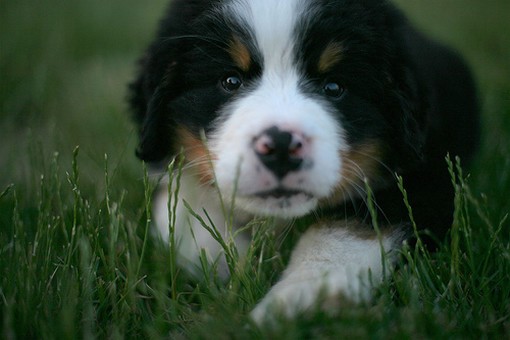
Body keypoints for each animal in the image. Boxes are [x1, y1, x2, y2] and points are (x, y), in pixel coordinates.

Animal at [129, 0, 480, 324]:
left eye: (334, 86)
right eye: (230, 81)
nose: (281, 147)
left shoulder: (425, 180)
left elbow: (342, 234)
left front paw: (294, 300)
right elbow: (183, 214)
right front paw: (225, 264)